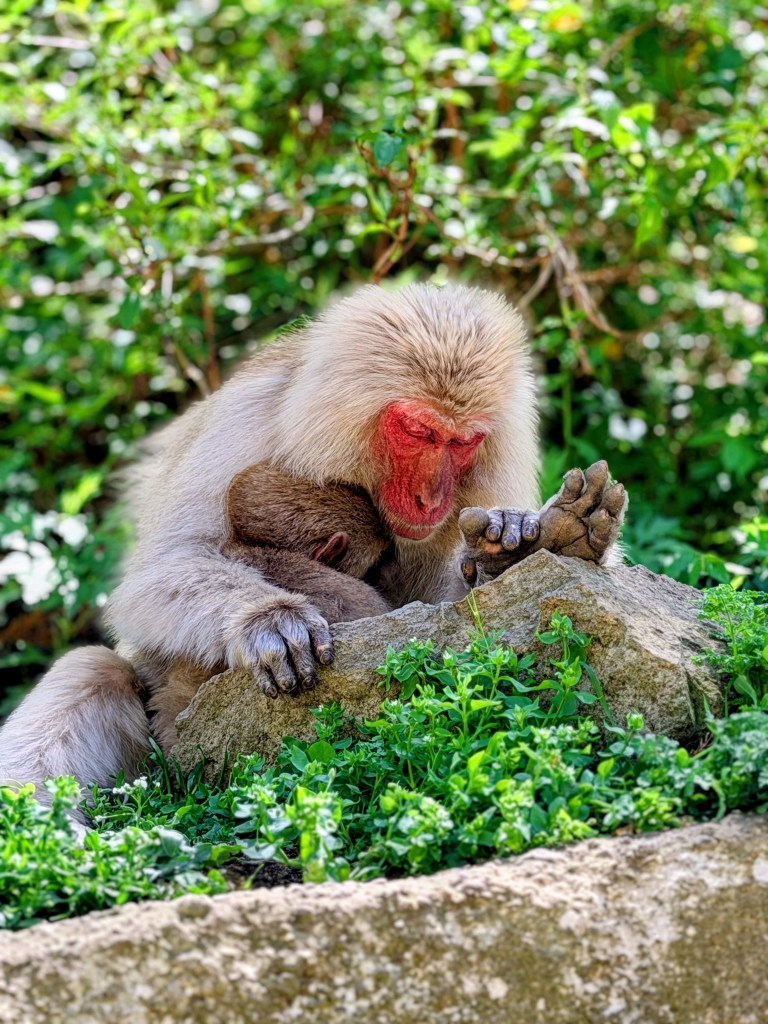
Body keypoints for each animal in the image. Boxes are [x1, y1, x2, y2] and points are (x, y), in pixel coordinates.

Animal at [0, 283, 627, 801]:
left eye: (462, 442)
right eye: (418, 432)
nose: (431, 498)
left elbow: (457, 612)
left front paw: (516, 548)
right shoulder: (245, 419)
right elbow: (157, 576)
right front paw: (267, 619)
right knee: (95, 668)